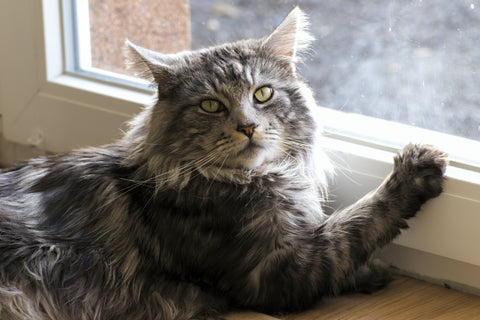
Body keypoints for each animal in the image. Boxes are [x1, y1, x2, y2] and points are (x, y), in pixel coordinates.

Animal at [0, 7, 448, 320]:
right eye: (211, 105)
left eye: (263, 93)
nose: (248, 126)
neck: (252, 178)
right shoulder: (277, 273)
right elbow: (356, 224)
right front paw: (415, 169)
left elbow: (346, 231)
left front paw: (371, 272)